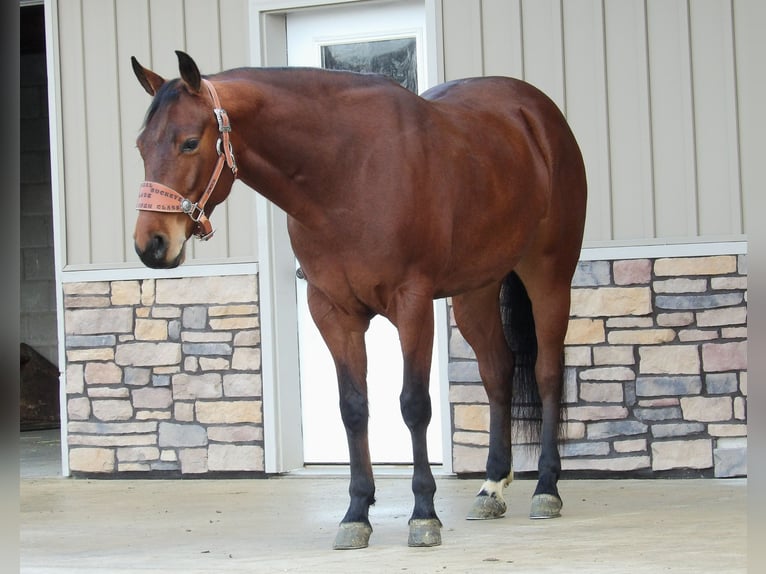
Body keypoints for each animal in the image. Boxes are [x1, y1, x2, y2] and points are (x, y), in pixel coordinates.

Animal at [131, 51, 587, 550]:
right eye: (140, 146)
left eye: (190, 143)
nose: (151, 245)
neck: (345, 173)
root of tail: (537, 115)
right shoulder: (333, 311)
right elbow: (353, 408)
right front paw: (356, 514)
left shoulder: (412, 304)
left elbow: (414, 405)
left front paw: (423, 515)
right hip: (476, 291)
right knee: (498, 372)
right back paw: (491, 487)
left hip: (548, 275)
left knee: (546, 373)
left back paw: (547, 488)